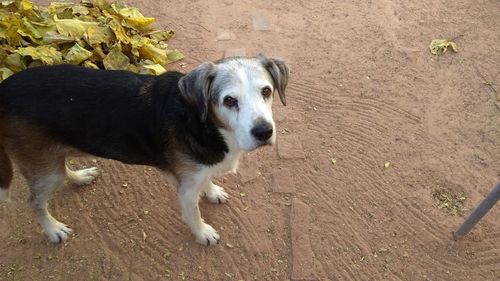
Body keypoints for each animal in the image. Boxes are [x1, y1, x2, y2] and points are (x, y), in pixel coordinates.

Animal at [0, 54, 290, 243]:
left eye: (266, 91)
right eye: (229, 101)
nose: (264, 132)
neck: (202, 122)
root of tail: (3, 89)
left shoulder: (200, 169)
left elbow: (206, 180)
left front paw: (212, 191)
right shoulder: (186, 189)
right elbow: (193, 214)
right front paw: (202, 233)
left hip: (53, 160)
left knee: (62, 167)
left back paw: (79, 177)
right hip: (45, 169)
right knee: (35, 201)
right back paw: (52, 230)